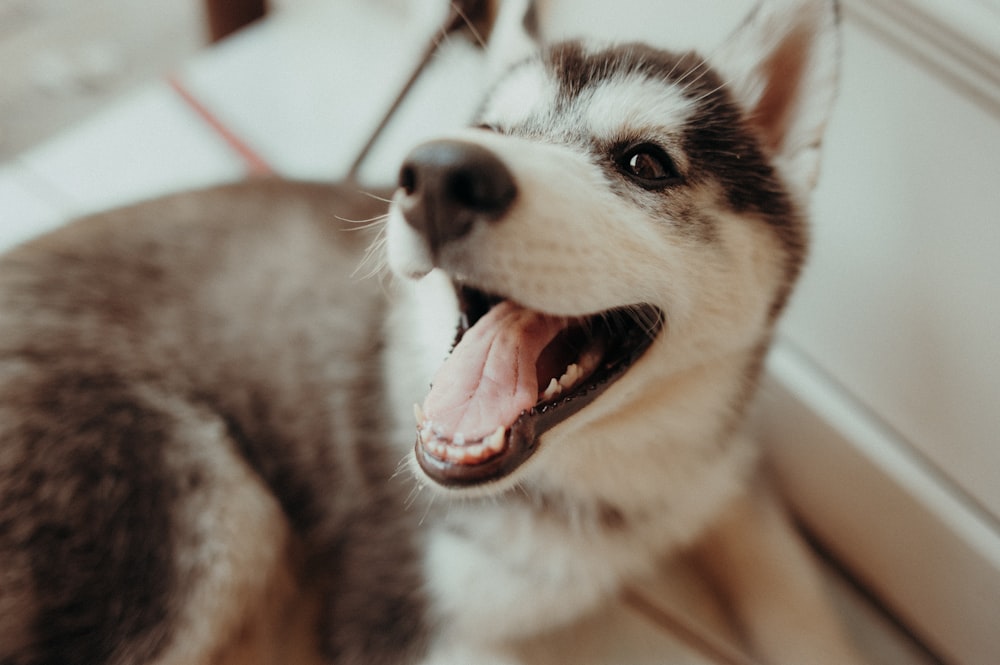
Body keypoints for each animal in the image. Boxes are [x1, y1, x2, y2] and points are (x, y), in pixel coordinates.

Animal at [0, 1, 860, 664]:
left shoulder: (731, 476)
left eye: (645, 162)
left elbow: (802, 609)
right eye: (488, 128)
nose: (441, 173)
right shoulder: (389, 610)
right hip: (210, 503)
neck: (607, 478)